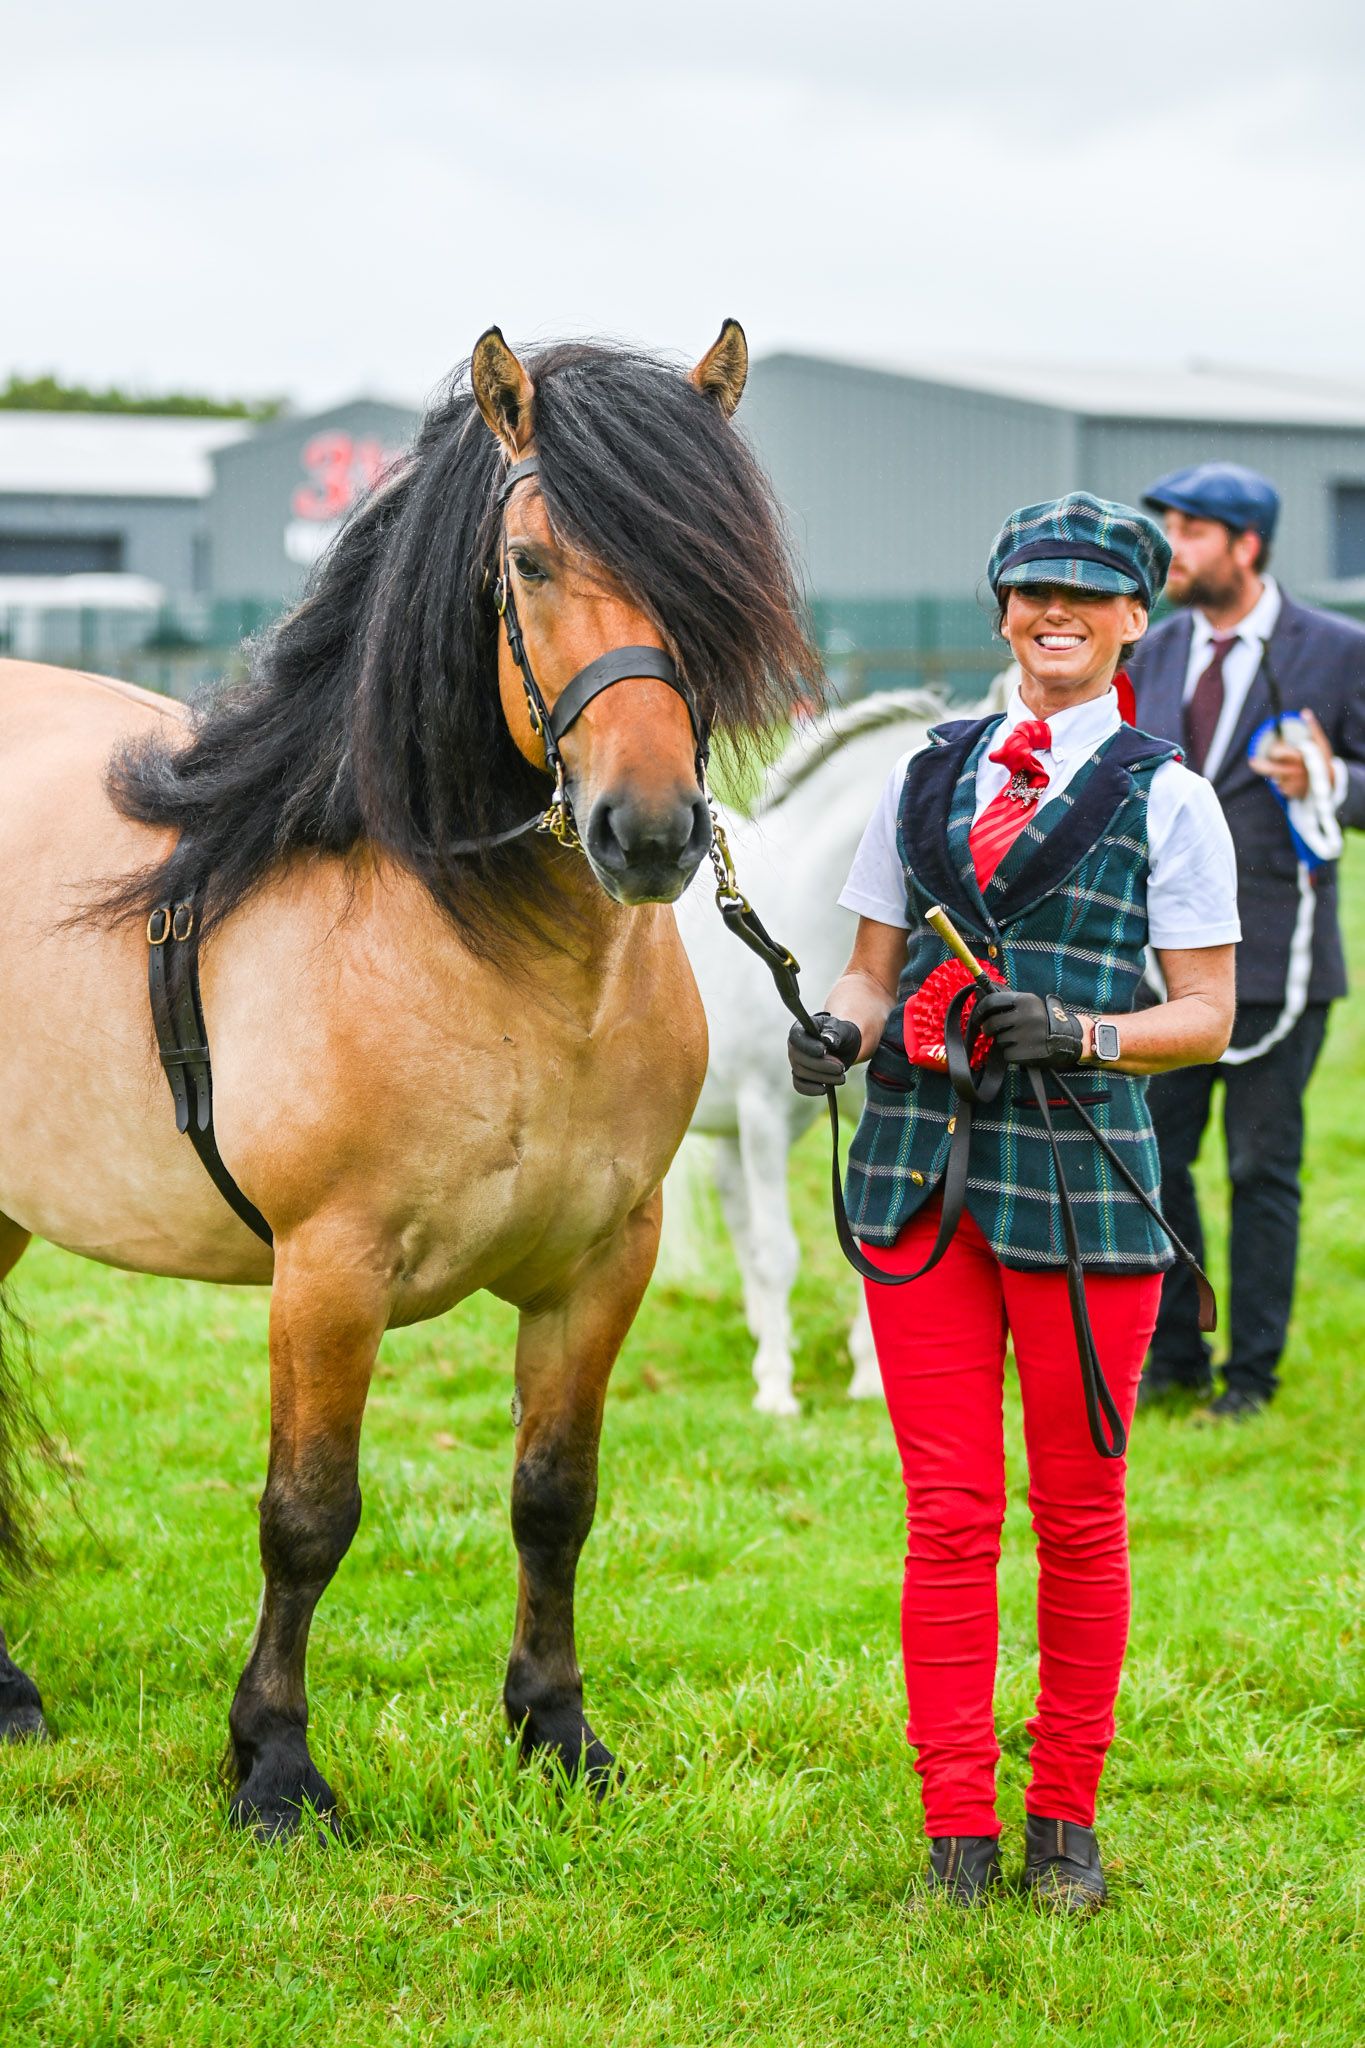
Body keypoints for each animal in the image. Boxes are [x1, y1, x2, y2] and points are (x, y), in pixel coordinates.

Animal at [0, 323, 815, 1837]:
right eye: (530, 562)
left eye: (712, 568)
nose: (648, 833)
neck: (501, 965)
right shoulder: (330, 1271)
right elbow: (308, 1515)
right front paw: (274, 1765)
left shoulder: (603, 1263)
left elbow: (556, 1497)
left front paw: (556, 1729)